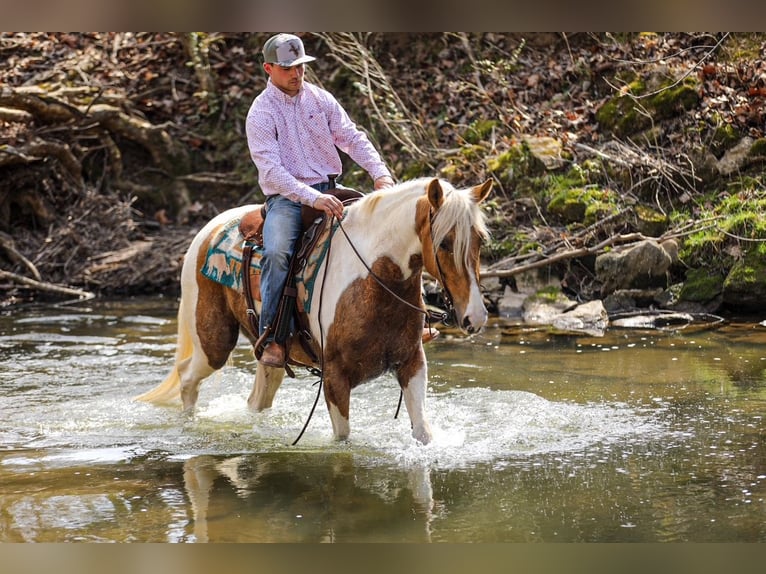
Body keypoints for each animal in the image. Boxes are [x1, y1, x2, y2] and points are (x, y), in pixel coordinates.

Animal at [136, 177, 493, 444]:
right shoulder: (335, 378)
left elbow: (423, 433)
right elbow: (343, 440)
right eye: (444, 242)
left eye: (480, 241)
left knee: (258, 397)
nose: (475, 317)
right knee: (187, 378)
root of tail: (208, 229)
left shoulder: (412, 363)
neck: (372, 278)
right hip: (214, 342)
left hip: (267, 353)